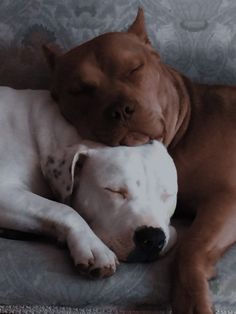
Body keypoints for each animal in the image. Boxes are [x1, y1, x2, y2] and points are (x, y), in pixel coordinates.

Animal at [0, 86, 177, 278]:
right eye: (114, 191)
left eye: (167, 195)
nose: (153, 238)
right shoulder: (5, 190)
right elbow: (63, 209)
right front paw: (94, 246)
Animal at [42, 7, 236, 314]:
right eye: (80, 89)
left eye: (135, 68)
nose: (120, 108)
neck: (185, 130)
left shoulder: (226, 199)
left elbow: (191, 245)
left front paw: (192, 297)